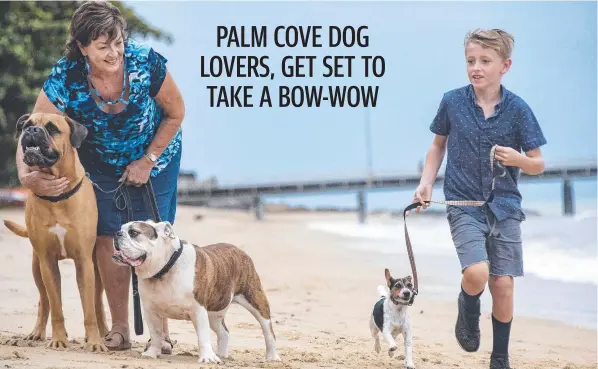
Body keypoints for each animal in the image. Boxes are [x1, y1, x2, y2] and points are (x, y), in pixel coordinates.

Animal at [4, 112, 109, 350]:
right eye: (27, 125)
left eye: (52, 128)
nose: (31, 131)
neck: (57, 198)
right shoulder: (48, 262)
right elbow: (56, 307)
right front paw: (59, 339)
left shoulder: (84, 262)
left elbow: (89, 308)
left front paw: (94, 341)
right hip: (37, 267)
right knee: (44, 301)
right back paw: (37, 332)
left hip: (96, 268)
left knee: (96, 302)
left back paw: (104, 333)